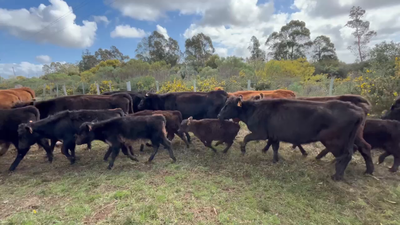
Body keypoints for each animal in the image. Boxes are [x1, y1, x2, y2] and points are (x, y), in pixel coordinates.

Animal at [219, 96, 366, 181]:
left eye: (228, 105)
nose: (219, 115)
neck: (254, 109)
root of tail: (357, 110)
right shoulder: (274, 135)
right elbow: (275, 147)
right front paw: (275, 160)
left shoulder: (261, 133)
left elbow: (245, 138)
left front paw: (243, 150)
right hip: (345, 141)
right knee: (350, 153)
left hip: (334, 142)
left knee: (346, 155)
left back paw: (337, 175)